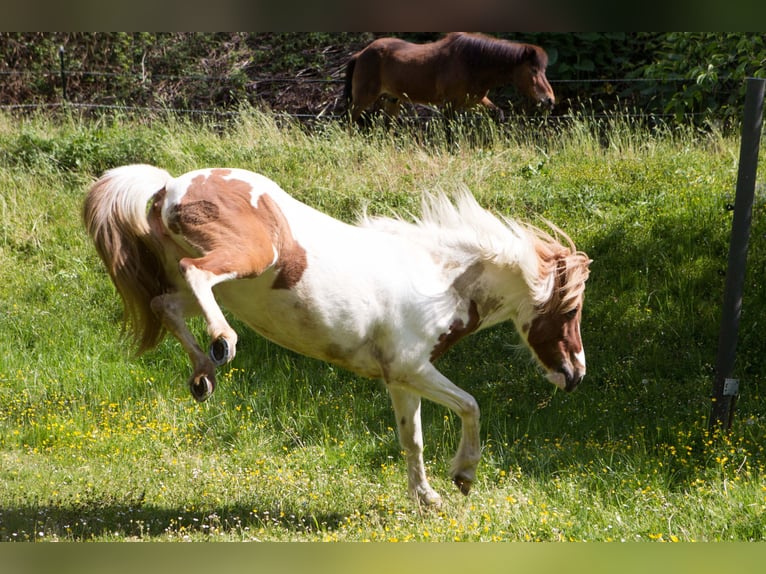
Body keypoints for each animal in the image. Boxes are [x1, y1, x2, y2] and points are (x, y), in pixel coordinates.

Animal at [83, 165, 590, 507]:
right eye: (571, 309)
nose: (576, 374)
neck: (437, 279)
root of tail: (170, 184)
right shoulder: (412, 368)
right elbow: (470, 405)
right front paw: (463, 476)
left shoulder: (402, 379)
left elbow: (412, 439)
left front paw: (426, 499)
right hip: (246, 257)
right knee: (195, 274)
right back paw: (223, 342)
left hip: (217, 284)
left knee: (164, 304)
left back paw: (203, 375)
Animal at [344, 32, 556, 123]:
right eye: (533, 70)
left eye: (544, 70)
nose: (550, 100)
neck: (471, 62)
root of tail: (361, 53)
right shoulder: (449, 105)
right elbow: (449, 132)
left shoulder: (475, 101)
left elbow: (499, 114)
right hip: (363, 98)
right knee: (350, 121)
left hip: (392, 99)